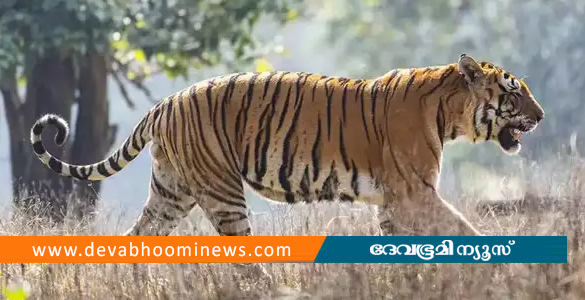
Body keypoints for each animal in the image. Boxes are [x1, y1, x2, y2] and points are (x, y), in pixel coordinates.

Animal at [30, 53, 544, 239]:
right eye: (514, 91)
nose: (540, 116)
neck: (449, 111)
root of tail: (166, 101)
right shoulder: (414, 193)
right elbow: (463, 229)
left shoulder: (394, 202)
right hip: (221, 192)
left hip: (170, 192)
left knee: (138, 238)